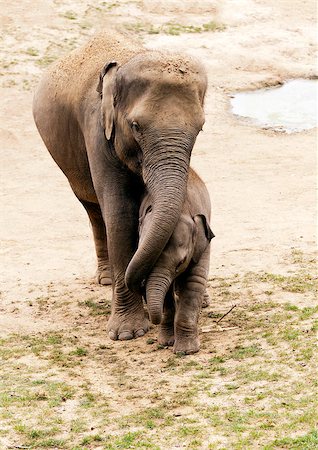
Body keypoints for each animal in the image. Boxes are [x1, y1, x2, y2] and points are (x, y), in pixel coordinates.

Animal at [33, 32, 207, 342]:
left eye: (200, 128)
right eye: (136, 126)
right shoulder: (97, 131)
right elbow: (120, 214)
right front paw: (127, 333)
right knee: (93, 210)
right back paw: (105, 279)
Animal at [139, 167, 214, 354]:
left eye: (180, 263)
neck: (184, 208)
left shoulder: (203, 244)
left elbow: (194, 282)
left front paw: (186, 351)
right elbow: (164, 290)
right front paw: (166, 342)